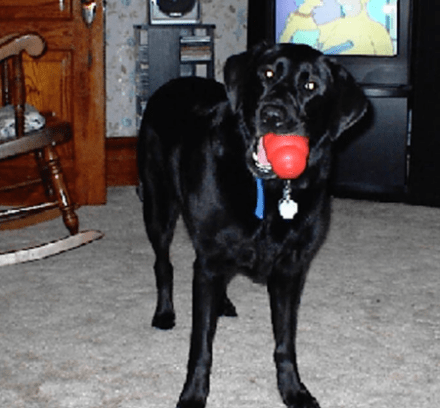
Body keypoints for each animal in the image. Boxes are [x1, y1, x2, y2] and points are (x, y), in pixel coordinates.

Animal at [137, 43, 368, 408]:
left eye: (311, 86)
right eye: (268, 73)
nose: (272, 115)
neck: (270, 189)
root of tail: (173, 82)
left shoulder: (290, 270)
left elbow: (285, 343)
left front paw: (293, 390)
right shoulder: (209, 261)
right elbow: (201, 345)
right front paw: (193, 394)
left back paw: (223, 303)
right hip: (158, 205)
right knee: (163, 263)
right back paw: (164, 313)